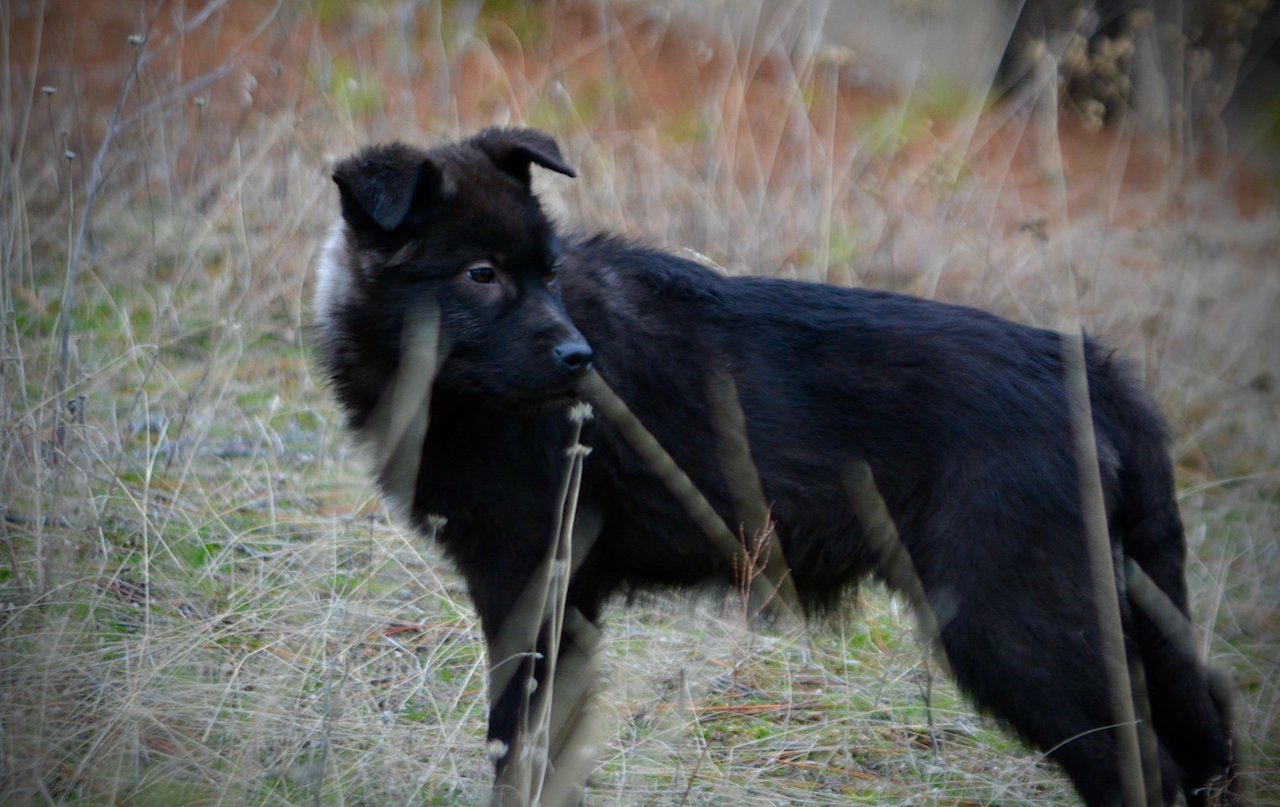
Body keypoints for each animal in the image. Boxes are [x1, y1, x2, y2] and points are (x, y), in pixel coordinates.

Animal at [314, 129, 1233, 804]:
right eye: (480, 274)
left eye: (547, 272)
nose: (582, 361)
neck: (451, 385)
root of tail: (1097, 375)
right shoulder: (557, 595)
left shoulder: (532, 584)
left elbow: (516, 739)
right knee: (1203, 720)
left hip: (1015, 625)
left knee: (1141, 763)